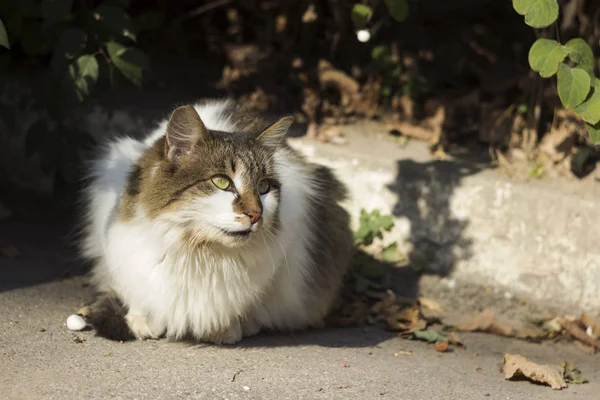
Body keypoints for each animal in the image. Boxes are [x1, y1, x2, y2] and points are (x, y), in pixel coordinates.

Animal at [77, 100, 354, 344]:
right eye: (222, 182)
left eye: (264, 187)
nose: (256, 214)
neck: (197, 251)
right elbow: (135, 288)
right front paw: (143, 318)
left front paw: (229, 327)